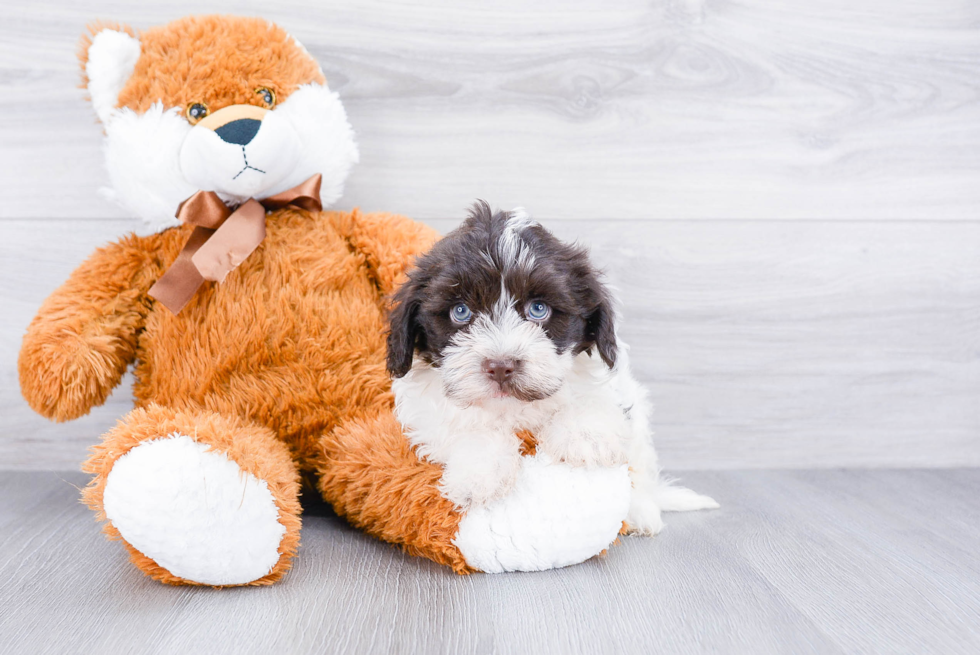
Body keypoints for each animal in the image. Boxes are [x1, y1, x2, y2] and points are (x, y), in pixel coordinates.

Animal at [386, 202, 716, 536]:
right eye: (461, 312)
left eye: (538, 309)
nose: (501, 366)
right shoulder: (423, 409)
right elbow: (459, 425)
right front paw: (480, 473)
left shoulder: (613, 382)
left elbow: (595, 398)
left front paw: (584, 438)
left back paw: (641, 510)